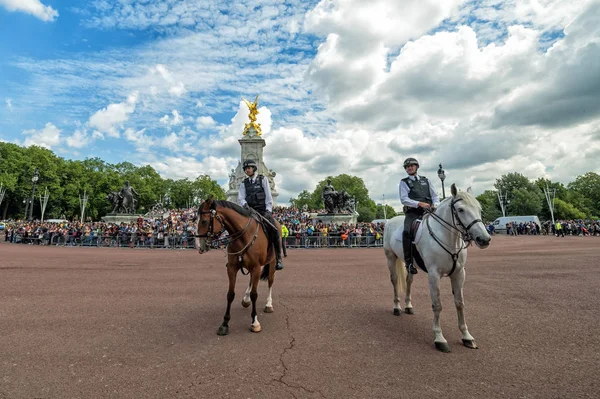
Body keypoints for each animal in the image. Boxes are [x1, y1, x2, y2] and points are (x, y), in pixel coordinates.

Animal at [198, 197, 280, 338]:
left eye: (204, 221)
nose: (200, 246)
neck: (243, 235)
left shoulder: (256, 267)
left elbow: (255, 294)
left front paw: (255, 322)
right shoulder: (232, 268)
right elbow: (230, 294)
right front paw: (225, 324)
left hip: (272, 263)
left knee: (270, 281)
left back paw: (269, 304)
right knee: (251, 281)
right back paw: (245, 299)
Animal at [384, 184, 492, 354]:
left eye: (479, 208)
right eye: (460, 209)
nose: (484, 239)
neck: (449, 239)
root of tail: (391, 220)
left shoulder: (459, 274)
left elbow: (460, 303)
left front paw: (466, 336)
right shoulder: (434, 275)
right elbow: (437, 305)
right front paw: (439, 338)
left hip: (410, 265)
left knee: (408, 281)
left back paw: (408, 306)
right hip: (391, 258)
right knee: (394, 281)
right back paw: (397, 307)